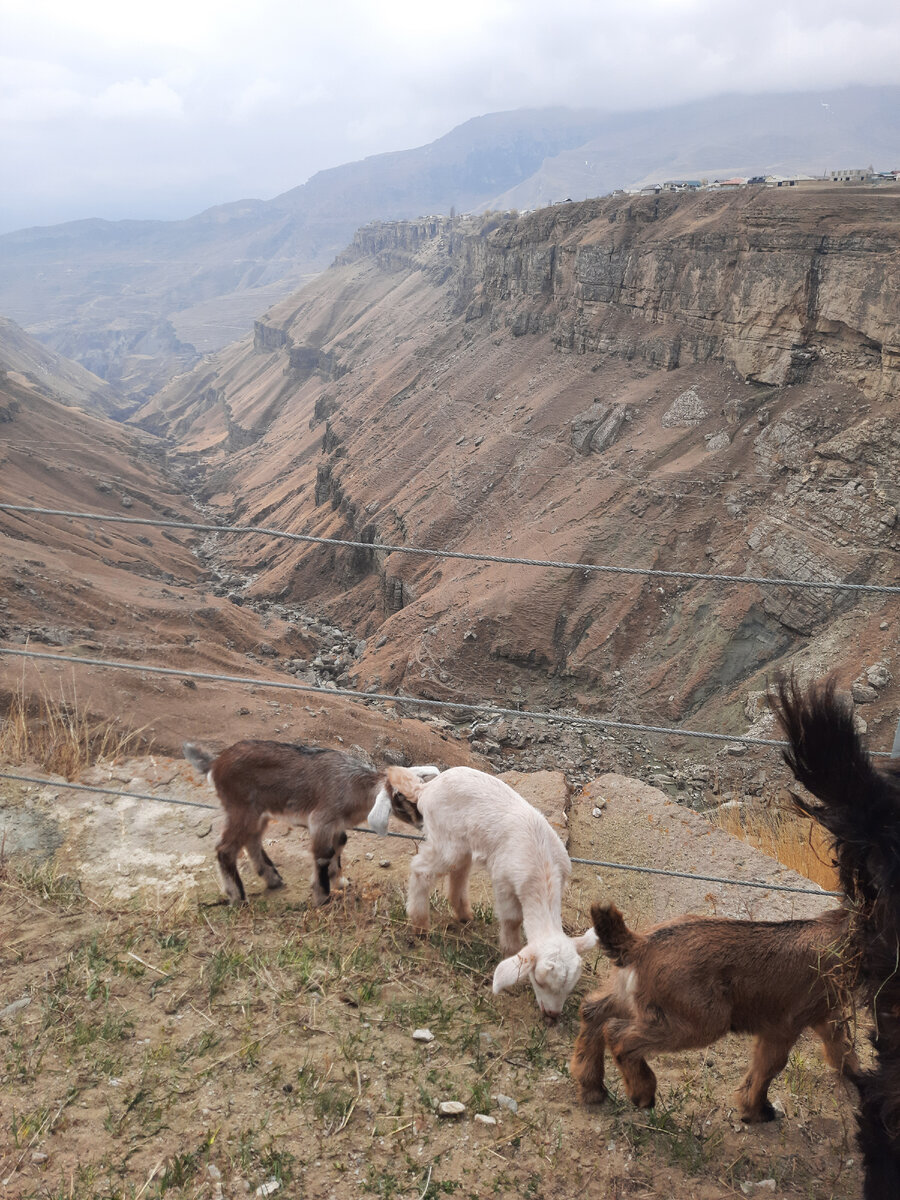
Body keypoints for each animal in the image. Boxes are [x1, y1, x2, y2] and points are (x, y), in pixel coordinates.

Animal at [184, 734, 427, 902]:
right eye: (401, 798)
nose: (424, 823)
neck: (353, 786)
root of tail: (215, 765)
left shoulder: (336, 825)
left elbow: (340, 845)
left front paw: (339, 881)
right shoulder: (321, 820)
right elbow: (323, 855)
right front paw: (322, 897)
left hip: (257, 813)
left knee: (252, 840)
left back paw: (273, 879)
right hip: (240, 809)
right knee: (225, 849)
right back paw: (238, 897)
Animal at [400, 763, 600, 1017]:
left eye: (570, 986)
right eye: (539, 981)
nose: (552, 1016)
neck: (542, 870)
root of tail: (426, 788)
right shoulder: (503, 880)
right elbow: (512, 919)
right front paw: (510, 951)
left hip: (461, 842)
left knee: (459, 870)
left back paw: (463, 914)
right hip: (446, 838)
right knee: (422, 870)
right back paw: (420, 925)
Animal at [571, 902, 859, 1118]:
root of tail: (640, 944)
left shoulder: (827, 1014)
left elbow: (842, 1046)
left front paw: (858, 1077)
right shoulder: (785, 1024)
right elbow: (770, 1066)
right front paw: (756, 1110)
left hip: (630, 998)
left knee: (592, 1011)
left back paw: (592, 1087)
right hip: (701, 1021)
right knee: (618, 1034)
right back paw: (642, 1092)